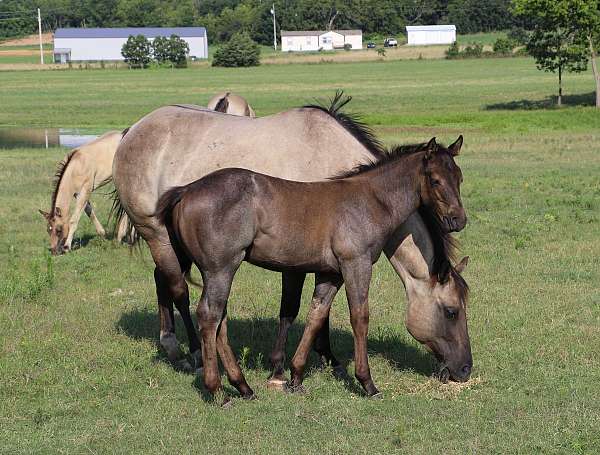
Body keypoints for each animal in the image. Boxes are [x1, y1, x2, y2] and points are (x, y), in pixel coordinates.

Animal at [110, 95, 472, 396]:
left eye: (460, 178)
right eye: (451, 311)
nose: (464, 369)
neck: (364, 195)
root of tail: (133, 130)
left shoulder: (327, 268)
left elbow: (316, 313)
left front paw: (311, 367)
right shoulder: (337, 263)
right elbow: (325, 313)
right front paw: (292, 370)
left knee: (180, 292)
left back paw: (229, 379)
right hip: (167, 239)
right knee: (187, 297)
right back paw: (198, 362)